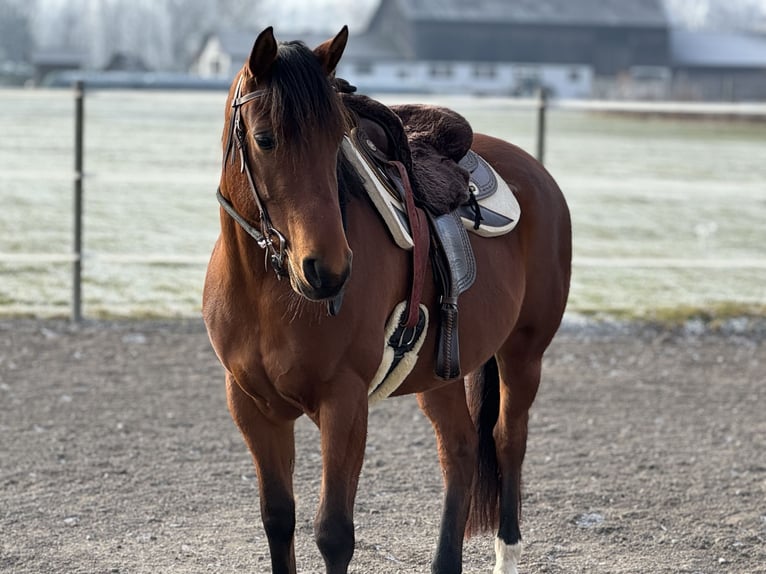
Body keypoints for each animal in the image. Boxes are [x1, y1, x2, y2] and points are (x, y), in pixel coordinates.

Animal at [203, 26, 571, 574]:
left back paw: (507, 553)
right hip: (441, 375)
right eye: (265, 138)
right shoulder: (252, 407)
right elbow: (278, 520)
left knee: (508, 441)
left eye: (337, 138)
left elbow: (333, 533)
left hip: (524, 353)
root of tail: (537, 173)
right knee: (461, 450)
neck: (267, 291)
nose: (328, 269)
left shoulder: (345, 403)